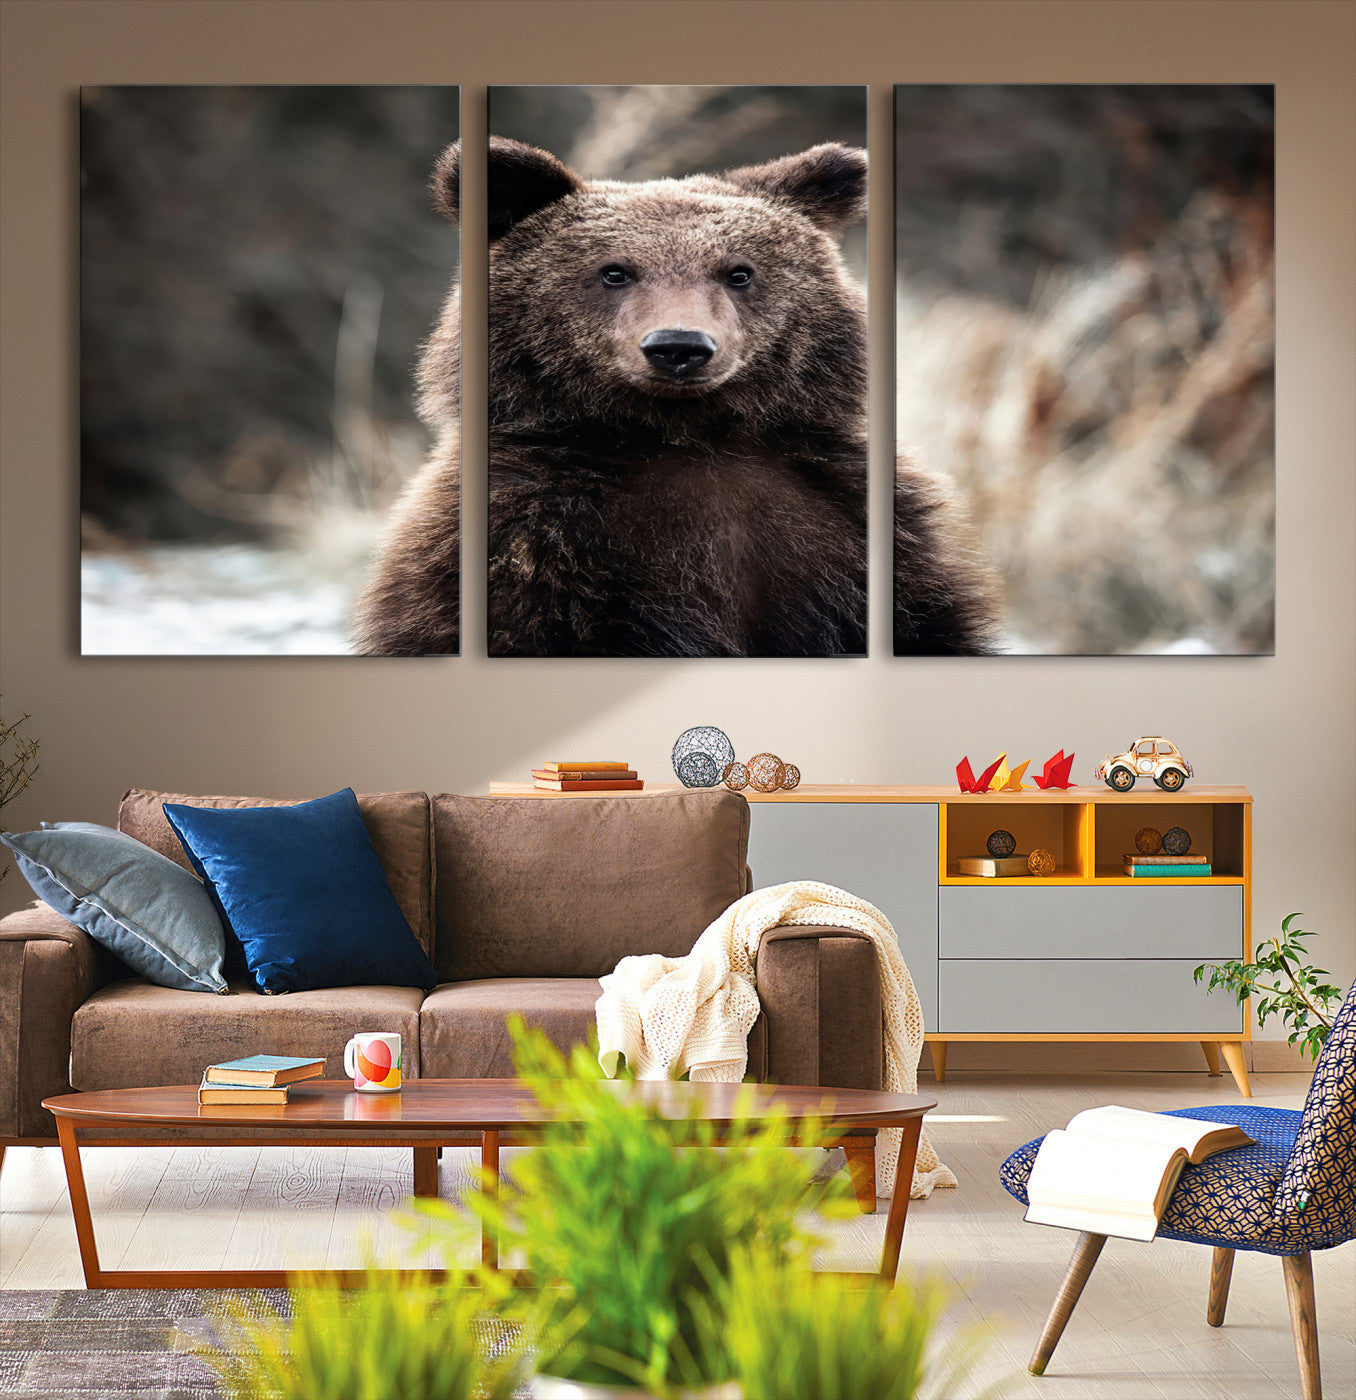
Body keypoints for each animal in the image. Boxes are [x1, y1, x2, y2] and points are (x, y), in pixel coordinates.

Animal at [352, 136, 998, 657]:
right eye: (614, 271)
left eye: (739, 271)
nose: (679, 346)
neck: (686, 435)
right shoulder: (529, 542)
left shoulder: (852, 525)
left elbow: (925, 623)